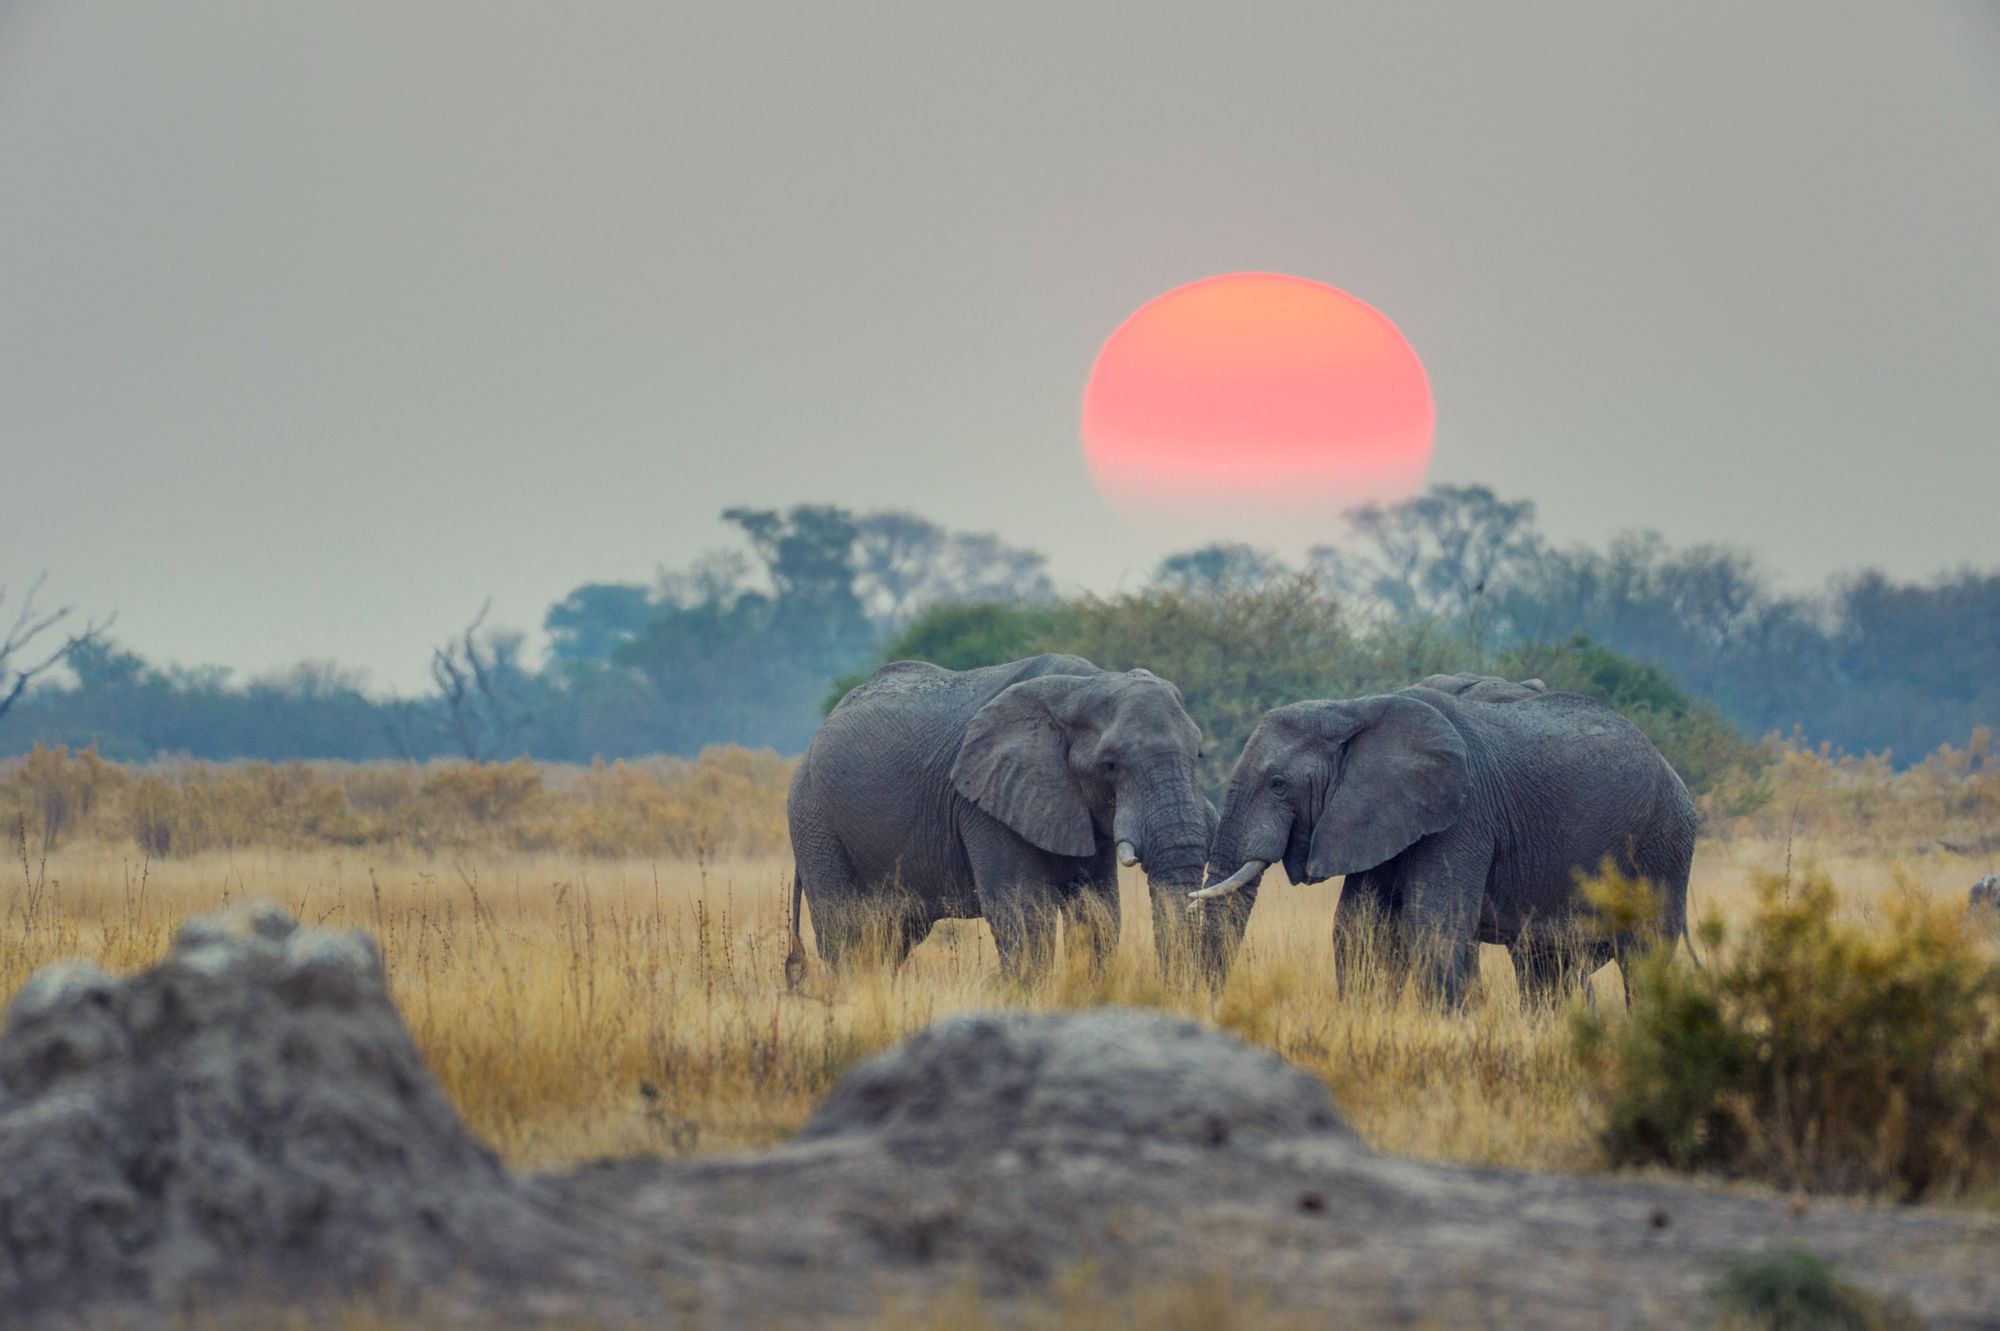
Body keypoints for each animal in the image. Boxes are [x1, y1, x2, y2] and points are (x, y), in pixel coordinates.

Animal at [788, 651, 1208, 975]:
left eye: (1199, 755)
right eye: (1111, 765)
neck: (1086, 684)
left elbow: (1098, 913)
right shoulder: (984, 803)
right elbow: (1023, 913)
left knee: (892, 938)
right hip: (814, 821)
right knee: (846, 934)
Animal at [1192, 675, 1696, 1007]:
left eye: (1278, 784)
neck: (1355, 708)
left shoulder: (1463, 815)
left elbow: (1435, 924)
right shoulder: (1378, 816)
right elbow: (1360, 927)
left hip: (1663, 845)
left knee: (1644, 957)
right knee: (1547, 966)